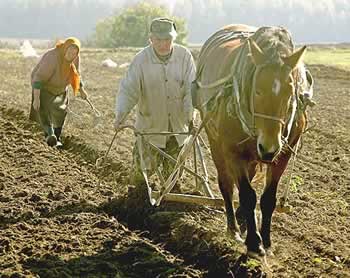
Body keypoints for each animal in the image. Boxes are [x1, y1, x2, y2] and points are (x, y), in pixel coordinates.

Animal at [194, 25, 312, 258]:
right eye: (258, 90)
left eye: (289, 91)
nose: (268, 148)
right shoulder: (233, 152)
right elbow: (247, 195)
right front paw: (254, 243)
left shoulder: (283, 153)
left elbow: (267, 199)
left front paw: (266, 239)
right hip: (216, 142)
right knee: (226, 184)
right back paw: (233, 228)